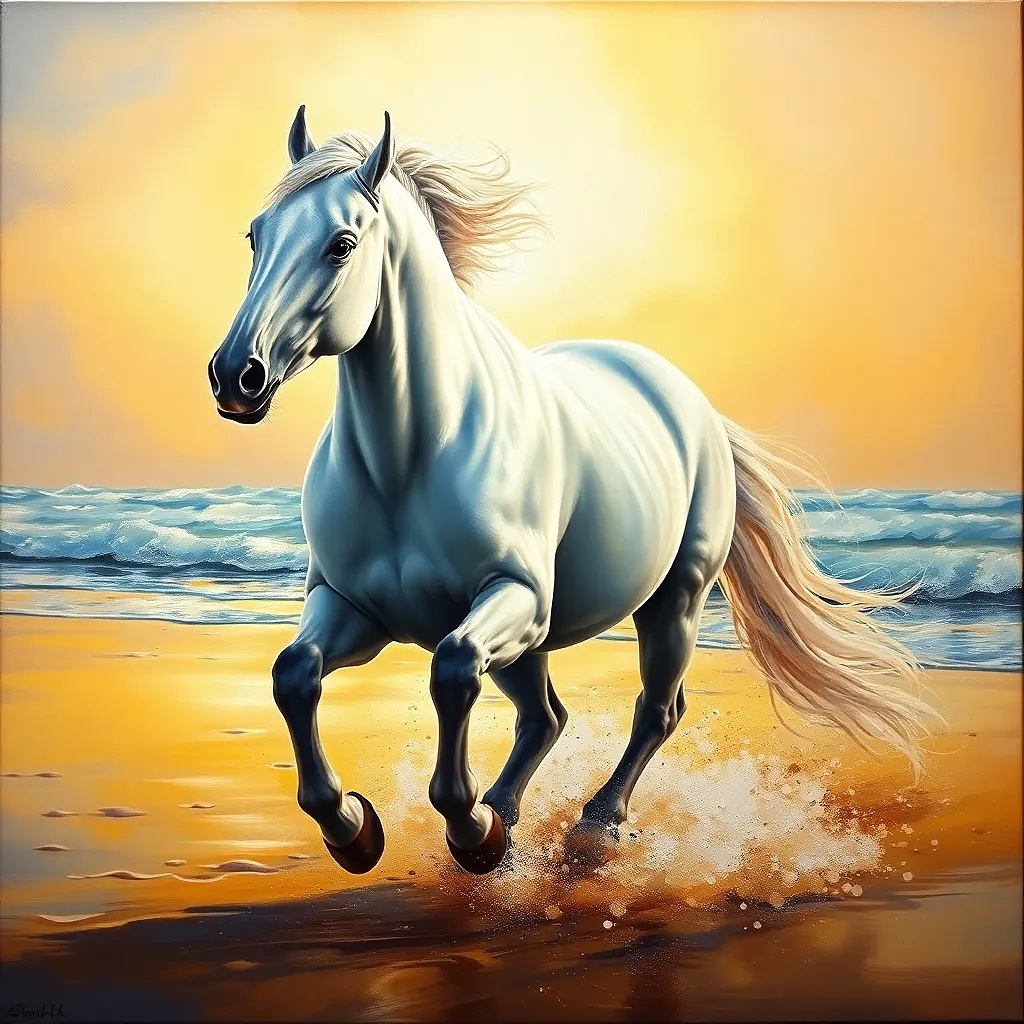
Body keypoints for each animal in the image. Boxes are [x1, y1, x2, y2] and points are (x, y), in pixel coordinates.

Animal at [208, 108, 936, 876]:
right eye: (256, 235)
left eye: (342, 244)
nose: (236, 375)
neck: (409, 463)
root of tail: (691, 400)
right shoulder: (351, 606)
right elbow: (294, 674)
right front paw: (352, 829)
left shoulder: (516, 600)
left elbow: (451, 670)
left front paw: (467, 830)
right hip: (538, 642)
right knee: (545, 717)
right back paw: (504, 817)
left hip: (672, 600)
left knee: (654, 710)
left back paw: (592, 824)